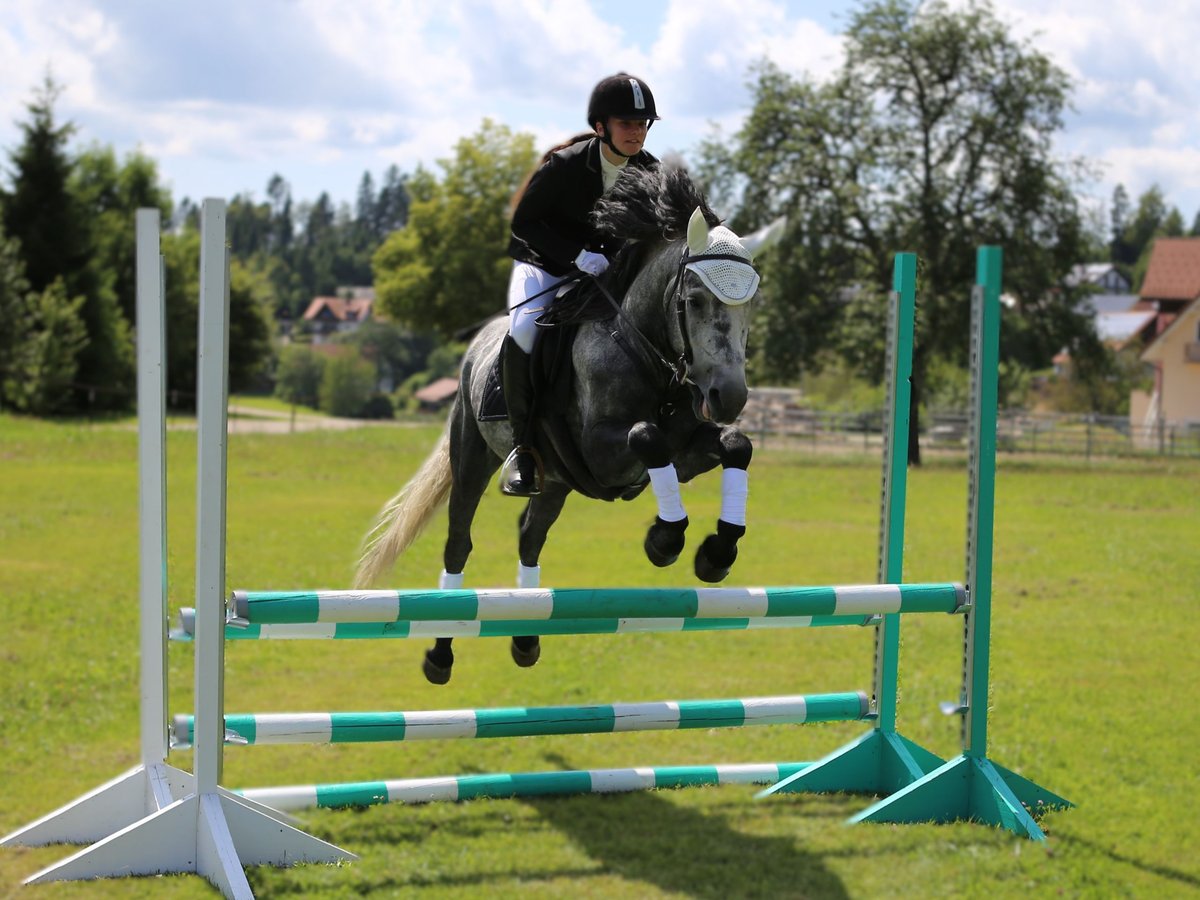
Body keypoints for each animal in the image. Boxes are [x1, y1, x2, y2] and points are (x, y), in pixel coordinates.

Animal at [352, 164, 758, 681]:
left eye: (752, 304)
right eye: (696, 299)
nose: (729, 395)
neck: (645, 350)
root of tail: (477, 347)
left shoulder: (683, 453)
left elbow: (735, 445)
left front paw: (716, 553)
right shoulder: (602, 452)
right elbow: (647, 437)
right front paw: (664, 541)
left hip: (557, 483)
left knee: (530, 536)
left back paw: (526, 639)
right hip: (472, 456)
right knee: (459, 544)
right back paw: (440, 655)